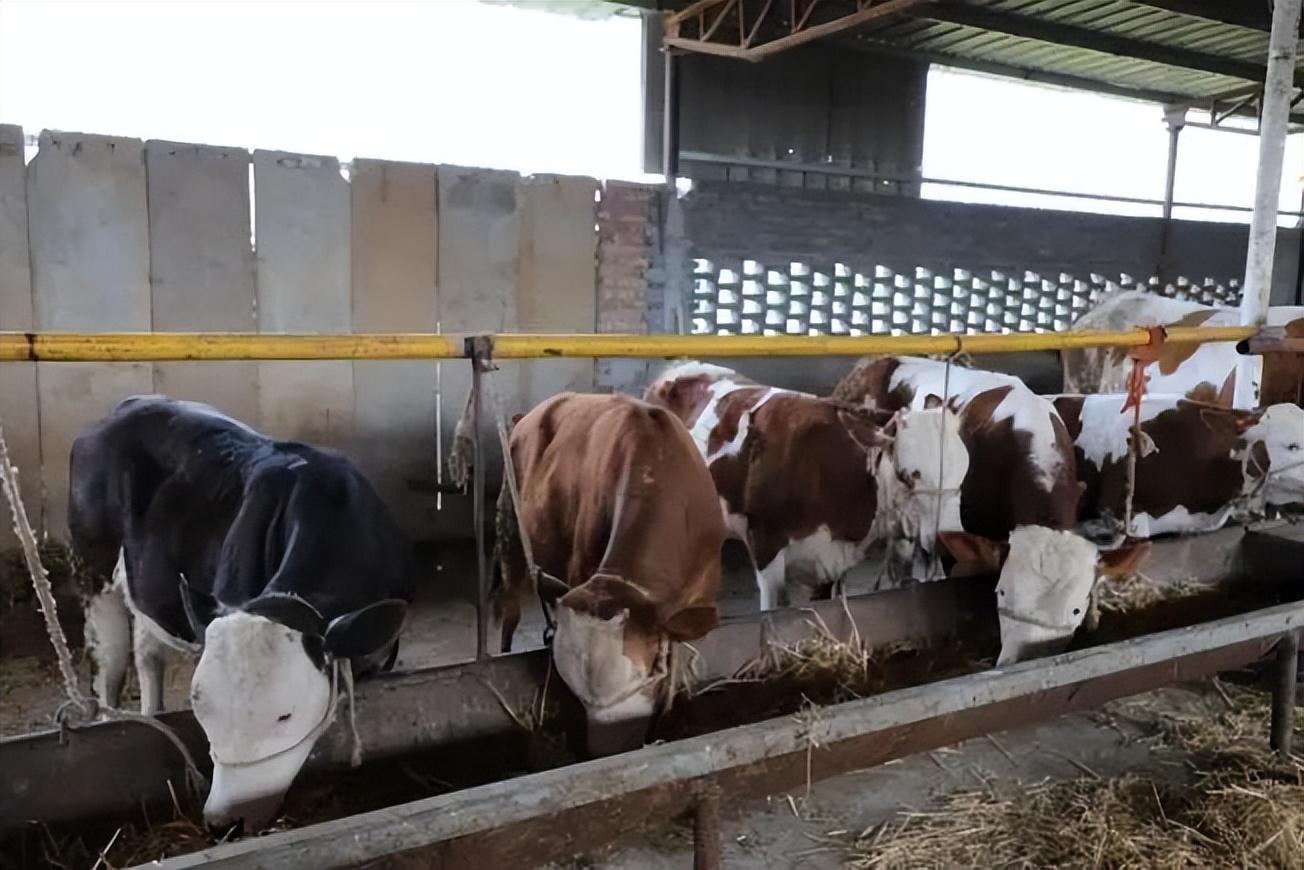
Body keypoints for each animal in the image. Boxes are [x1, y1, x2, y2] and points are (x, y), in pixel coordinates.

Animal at [70, 396, 415, 833]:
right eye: (201, 710)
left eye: (285, 716)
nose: (225, 820)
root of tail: (128, 405)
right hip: (92, 568)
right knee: (109, 667)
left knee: (148, 653)